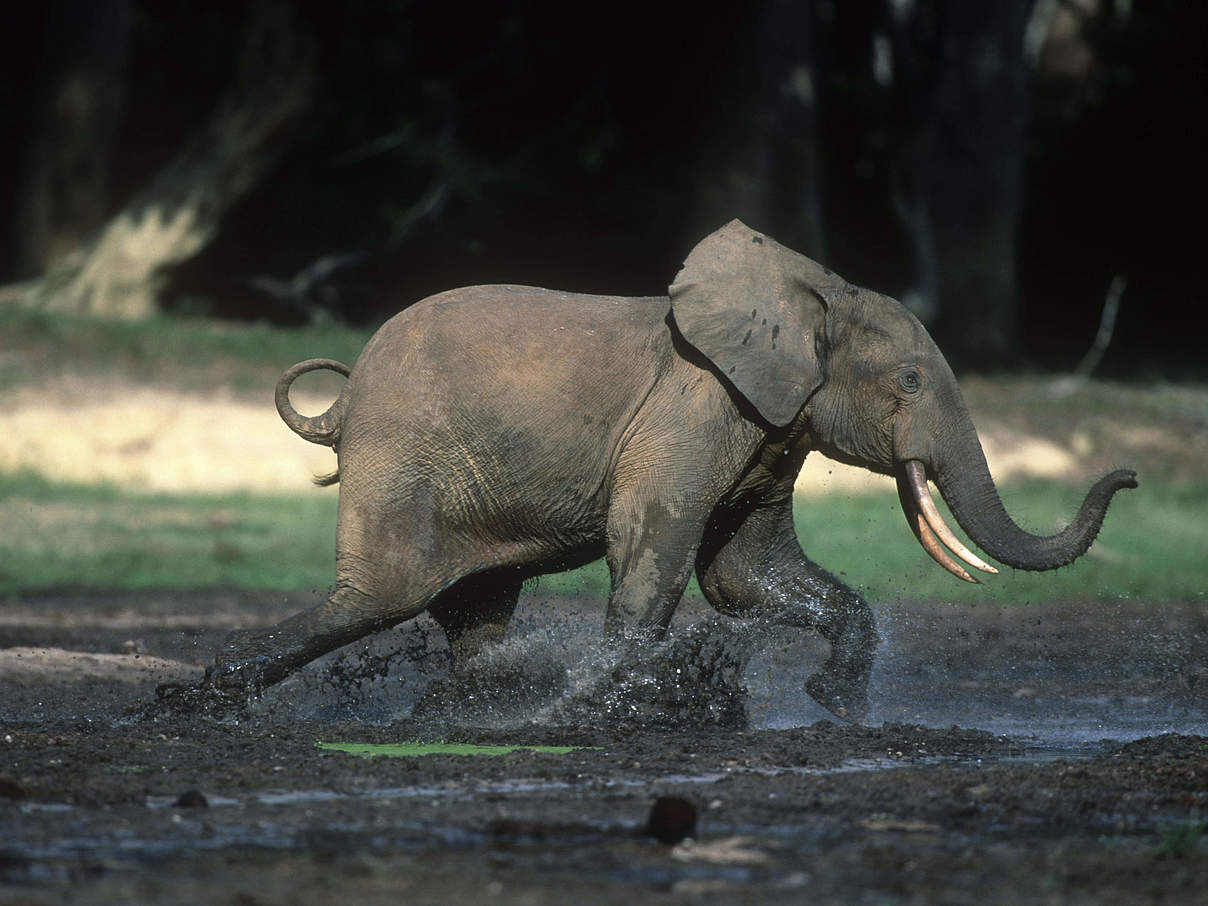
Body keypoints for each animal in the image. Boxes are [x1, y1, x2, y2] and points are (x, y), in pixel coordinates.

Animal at [200, 219, 1130, 724]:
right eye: (908, 382)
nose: (1126, 474)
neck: (815, 293)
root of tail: (342, 403)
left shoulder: (771, 432)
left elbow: (746, 575)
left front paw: (837, 705)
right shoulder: (693, 408)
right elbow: (657, 545)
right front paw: (596, 709)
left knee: (474, 607)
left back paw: (475, 699)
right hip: (402, 456)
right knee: (381, 595)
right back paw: (205, 696)